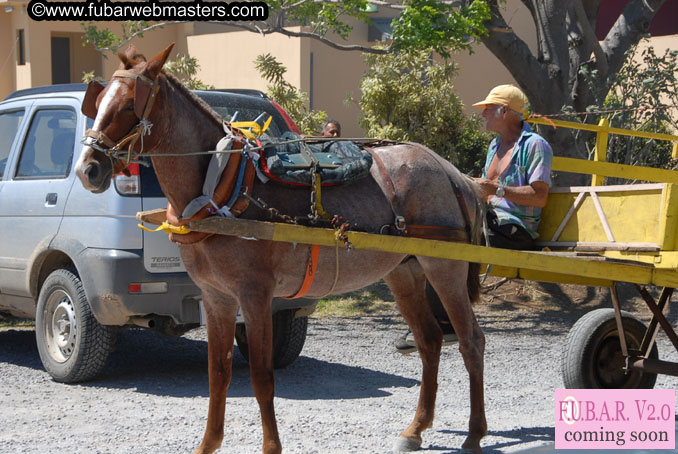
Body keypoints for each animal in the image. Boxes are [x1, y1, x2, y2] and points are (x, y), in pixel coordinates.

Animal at [74, 43, 488, 454]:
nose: (87, 169)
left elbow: (261, 376)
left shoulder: (255, 295)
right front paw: (209, 443)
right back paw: (416, 428)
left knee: (471, 340)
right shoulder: (215, 296)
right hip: (405, 270)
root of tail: (450, 171)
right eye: (99, 102)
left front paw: (270, 446)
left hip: (444, 268)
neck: (222, 184)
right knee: (430, 340)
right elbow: (218, 373)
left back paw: (474, 433)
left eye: (128, 106)